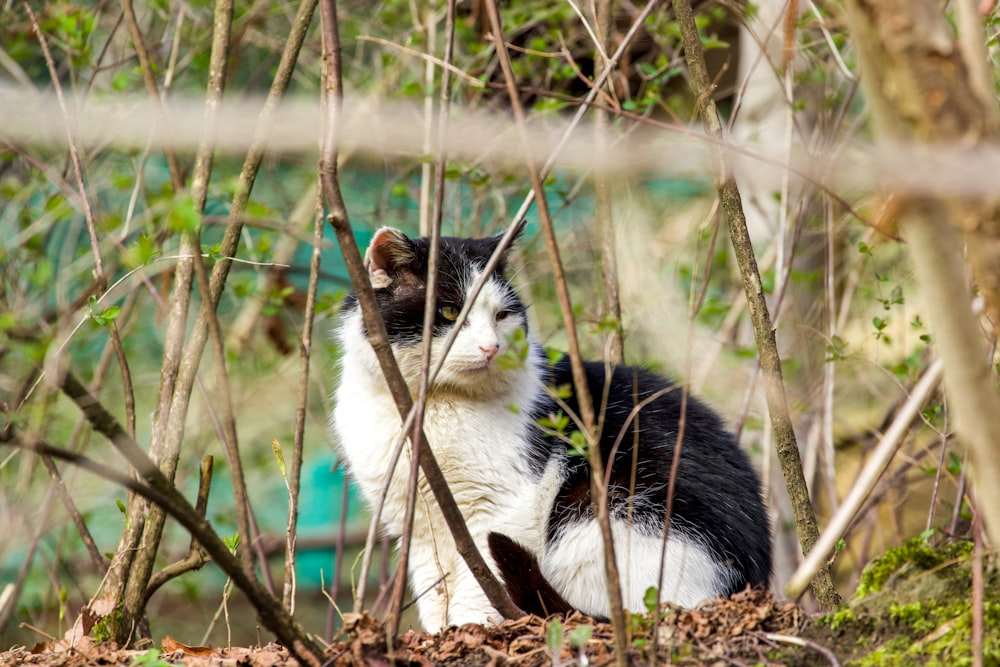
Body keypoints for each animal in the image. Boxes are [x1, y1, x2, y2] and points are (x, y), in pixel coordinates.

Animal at [332, 227, 768, 636]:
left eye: (502, 315)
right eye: (449, 311)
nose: (491, 347)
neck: (435, 406)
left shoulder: (502, 505)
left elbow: (477, 578)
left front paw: (471, 628)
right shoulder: (418, 525)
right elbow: (433, 586)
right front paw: (440, 634)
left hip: (601, 508)